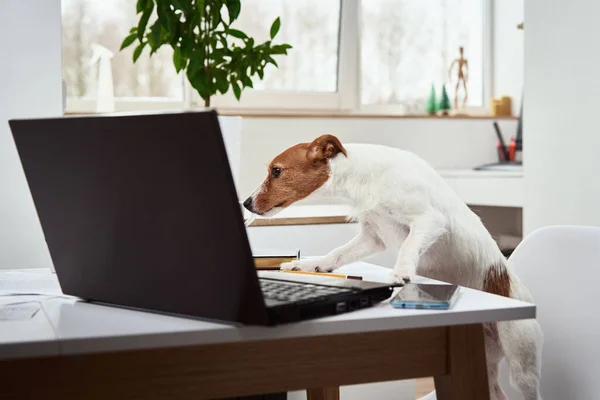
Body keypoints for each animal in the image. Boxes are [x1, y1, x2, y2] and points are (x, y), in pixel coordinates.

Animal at [244, 134, 544, 400]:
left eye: (276, 171)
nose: (246, 203)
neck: (363, 177)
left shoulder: (428, 220)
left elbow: (408, 247)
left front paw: (401, 273)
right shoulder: (372, 236)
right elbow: (338, 253)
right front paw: (312, 264)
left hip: (522, 366)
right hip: (485, 360)